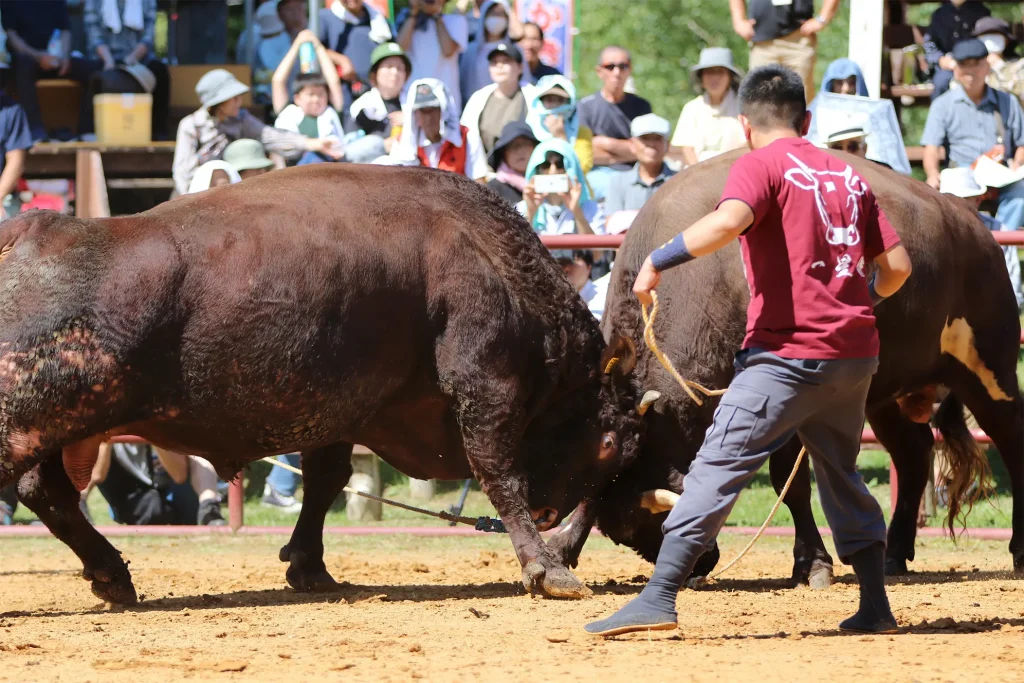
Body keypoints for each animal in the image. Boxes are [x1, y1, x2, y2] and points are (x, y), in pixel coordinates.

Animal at [0, 163, 651, 602]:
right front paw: (549, 570)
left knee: (47, 493)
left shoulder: (342, 411)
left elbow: (325, 480)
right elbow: (500, 474)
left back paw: (112, 575)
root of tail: (33, 230)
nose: (552, 512)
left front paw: (308, 566)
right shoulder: (486, 388)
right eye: (610, 444)